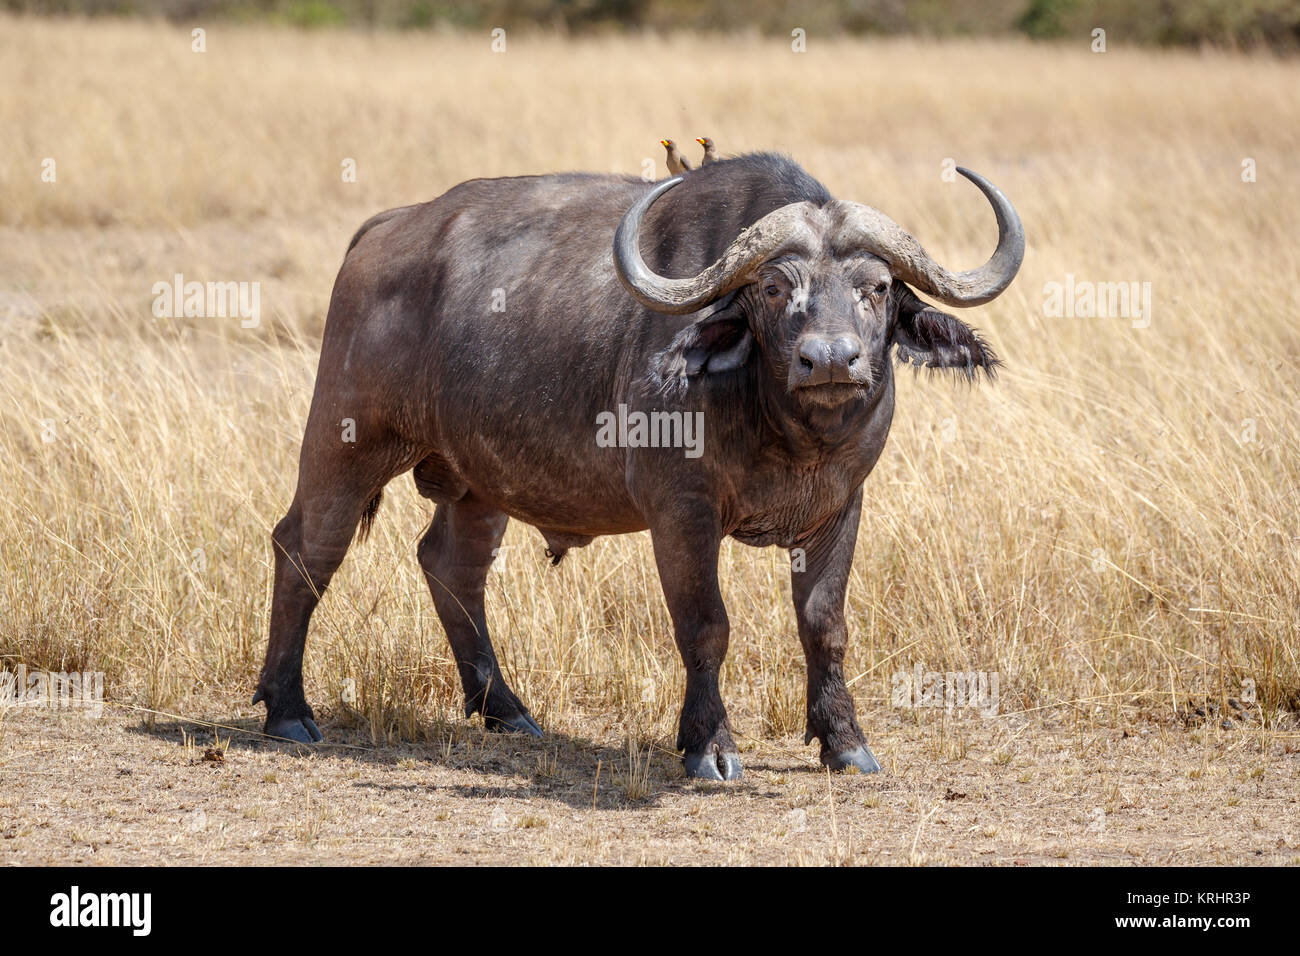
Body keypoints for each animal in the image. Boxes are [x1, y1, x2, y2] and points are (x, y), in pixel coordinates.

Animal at [256, 153, 1024, 780]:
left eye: (877, 288)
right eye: (774, 289)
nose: (830, 359)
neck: (789, 432)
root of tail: (385, 229)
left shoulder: (841, 507)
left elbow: (824, 625)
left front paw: (845, 743)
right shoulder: (680, 513)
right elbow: (706, 625)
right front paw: (710, 747)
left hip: (479, 481)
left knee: (451, 565)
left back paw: (505, 709)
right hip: (346, 441)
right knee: (305, 550)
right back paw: (288, 710)